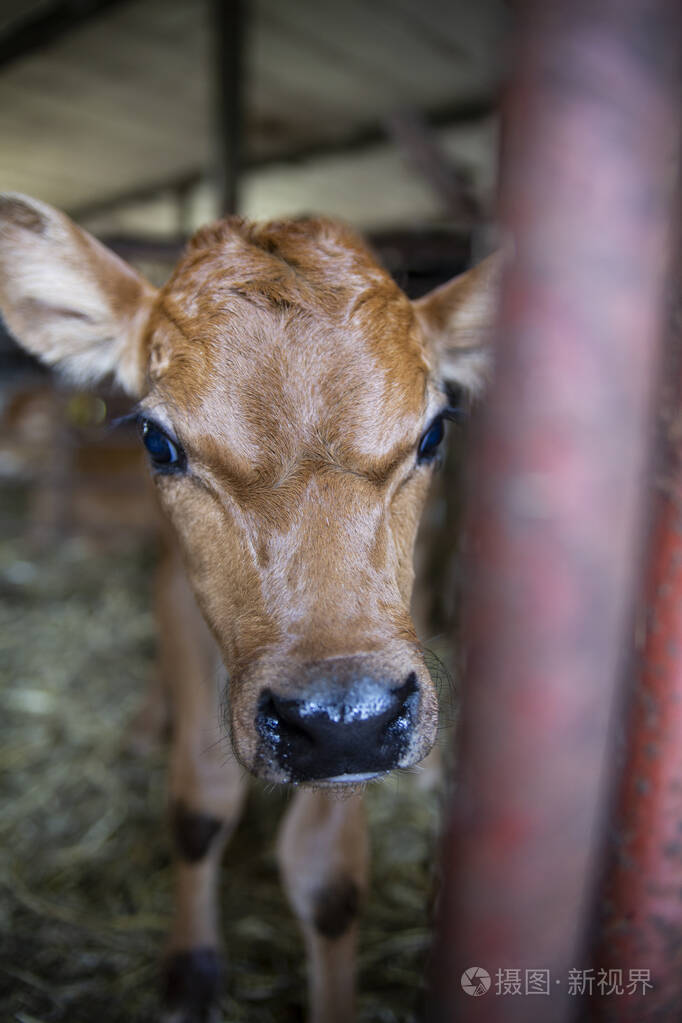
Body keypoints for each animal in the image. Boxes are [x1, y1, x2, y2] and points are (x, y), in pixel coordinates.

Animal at [0, 193, 501, 1023]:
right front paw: (191, 968)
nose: (342, 721)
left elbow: (327, 877)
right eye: (158, 441)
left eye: (432, 432)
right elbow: (200, 800)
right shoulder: (181, 592)